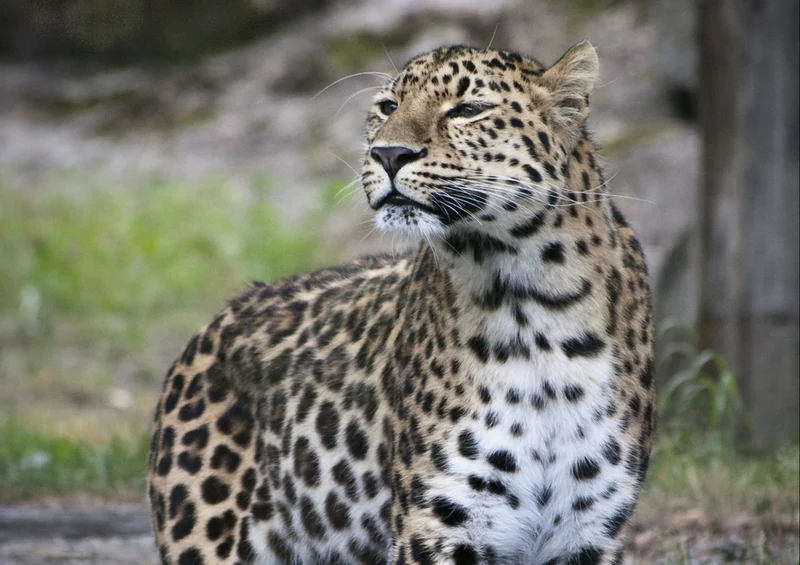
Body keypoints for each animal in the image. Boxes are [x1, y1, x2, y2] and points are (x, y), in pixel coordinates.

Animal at [147, 40, 656, 565]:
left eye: (468, 110)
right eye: (388, 107)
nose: (388, 153)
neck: (534, 302)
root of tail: (216, 320)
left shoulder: (588, 531)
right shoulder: (439, 522)